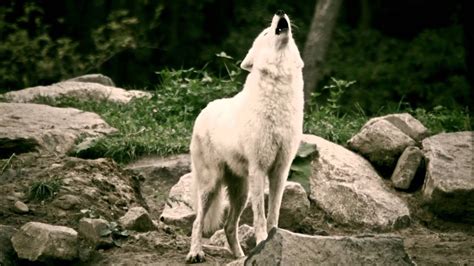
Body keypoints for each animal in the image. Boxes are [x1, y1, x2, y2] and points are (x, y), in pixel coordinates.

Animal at [185, 9, 304, 262]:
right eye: (266, 33)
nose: (280, 12)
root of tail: (203, 111)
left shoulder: (280, 170)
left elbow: (273, 214)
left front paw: (273, 240)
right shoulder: (259, 168)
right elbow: (260, 216)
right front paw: (262, 242)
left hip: (241, 191)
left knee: (229, 226)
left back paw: (240, 257)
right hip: (211, 185)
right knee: (197, 222)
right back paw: (195, 253)